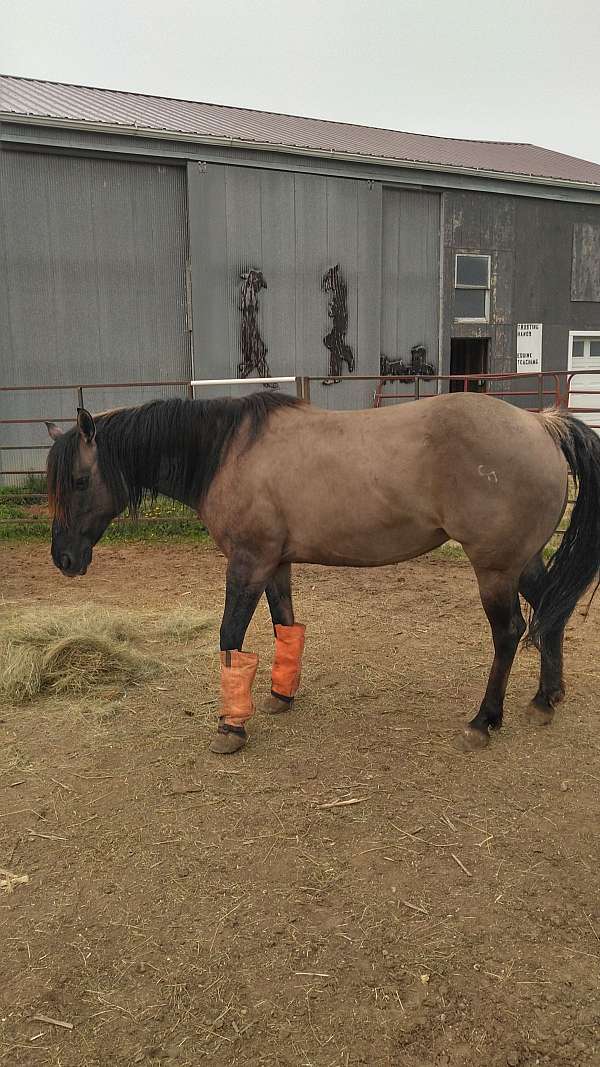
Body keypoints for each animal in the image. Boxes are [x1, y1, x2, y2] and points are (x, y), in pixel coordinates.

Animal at [45, 390, 600, 755]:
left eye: (79, 480)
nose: (64, 559)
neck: (229, 451)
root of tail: (540, 425)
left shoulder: (247, 563)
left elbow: (230, 637)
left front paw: (230, 727)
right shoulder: (275, 564)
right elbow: (285, 626)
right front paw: (279, 696)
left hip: (495, 568)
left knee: (510, 632)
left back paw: (484, 720)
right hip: (523, 560)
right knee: (551, 613)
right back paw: (545, 699)